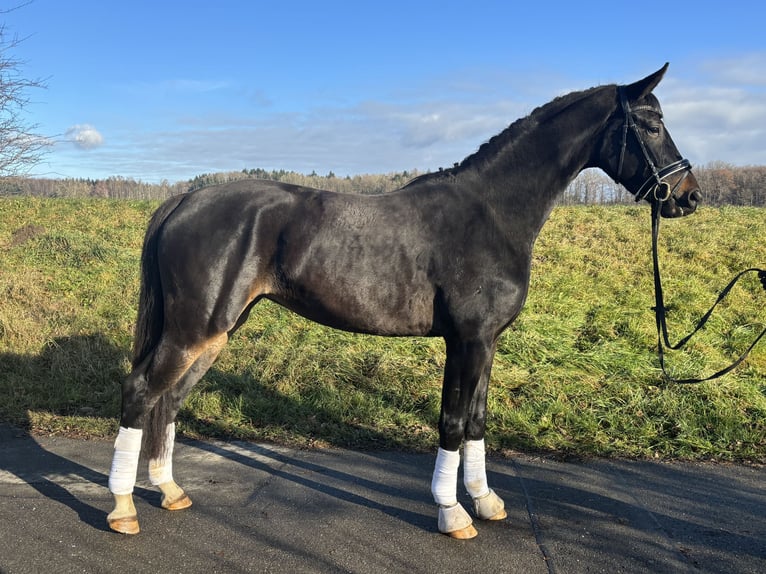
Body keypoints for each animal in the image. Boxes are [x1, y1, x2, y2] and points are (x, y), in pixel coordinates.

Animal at [106, 64, 702, 539]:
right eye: (651, 123)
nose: (689, 196)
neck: (492, 212)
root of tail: (184, 199)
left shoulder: (484, 343)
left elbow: (476, 420)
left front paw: (484, 502)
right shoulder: (468, 340)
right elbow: (453, 423)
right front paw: (453, 514)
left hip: (214, 331)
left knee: (168, 400)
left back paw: (169, 492)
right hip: (194, 328)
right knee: (140, 392)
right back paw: (123, 508)